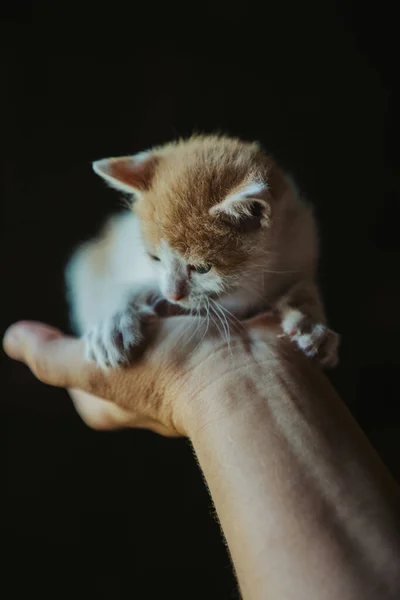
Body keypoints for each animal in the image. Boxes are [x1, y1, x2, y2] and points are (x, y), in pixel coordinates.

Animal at [65, 135, 338, 368]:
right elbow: (124, 288)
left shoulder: (298, 244)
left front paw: (311, 324)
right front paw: (112, 323)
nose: (172, 296)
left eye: (203, 268)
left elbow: (303, 286)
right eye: (155, 258)